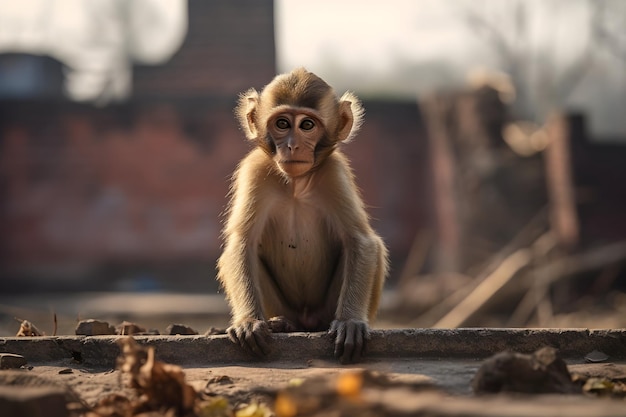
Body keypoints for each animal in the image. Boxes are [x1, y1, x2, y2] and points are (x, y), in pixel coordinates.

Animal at [217, 66, 388, 362]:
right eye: (282, 124)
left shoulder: (333, 173)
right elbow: (242, 243)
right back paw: (283, 323)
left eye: (307, 125)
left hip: (324, 310)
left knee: (372, 247)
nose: (292, 146)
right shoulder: (255, 170)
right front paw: (249, 321)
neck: (296, 184)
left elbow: (361, 241)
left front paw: (350, 322)